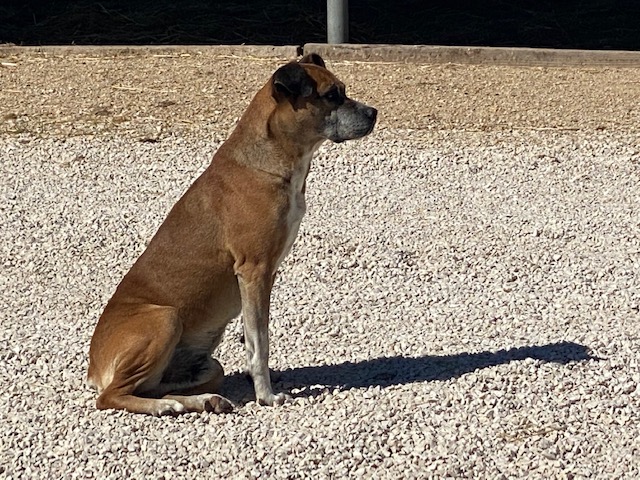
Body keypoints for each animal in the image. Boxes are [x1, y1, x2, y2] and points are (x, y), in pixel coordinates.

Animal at [87, 53, 377, 415]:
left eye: (343, 90)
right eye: (331, 95)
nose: (373, 113)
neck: (271, 161)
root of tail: (93, 368)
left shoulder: (264, 274)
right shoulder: (254, 271)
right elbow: (259, 343)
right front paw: (266, 395)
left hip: (206, 366)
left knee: (158, 387)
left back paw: (200, 400)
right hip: (165, 319)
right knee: (110, 396)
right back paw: (163, 407)